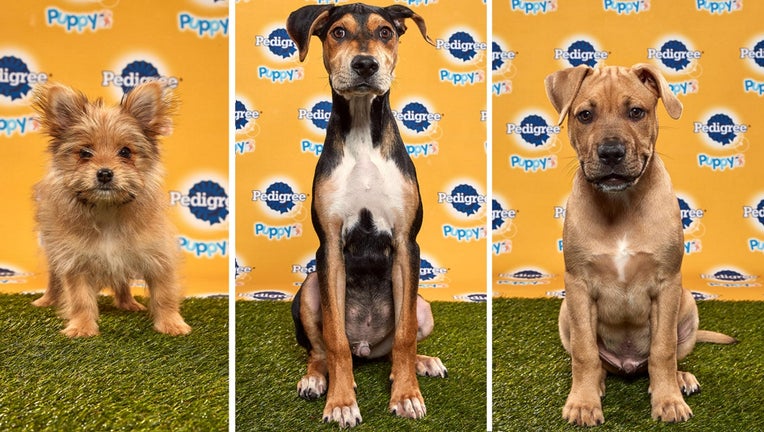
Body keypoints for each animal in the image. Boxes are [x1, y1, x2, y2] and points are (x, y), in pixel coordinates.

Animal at [33, 81, 191, 338]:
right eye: (85, 153)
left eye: (125, 152)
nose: (105, 173)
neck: (107, 208)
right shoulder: (75, 261)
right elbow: (80, 299)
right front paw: (82, 326)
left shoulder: (159, 256)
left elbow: (164, 294)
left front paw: (171, 323)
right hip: (54, 251)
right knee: (54, 279)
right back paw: (46, 300)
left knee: (122, 282)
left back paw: (128, 303)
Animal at [286, 3, 444, 428]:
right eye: (337, 32)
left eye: (386, 32)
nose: (365, 65)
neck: (362, 134)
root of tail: (366, 347)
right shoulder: (329, 246)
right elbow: (334, 340)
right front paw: (341, 402)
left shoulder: (407, 242)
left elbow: (404, 336)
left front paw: (406, 396)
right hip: (309, 289)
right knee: (322, 350)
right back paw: (315, 378)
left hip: (423, 305)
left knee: (398, 345)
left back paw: (422, 363)